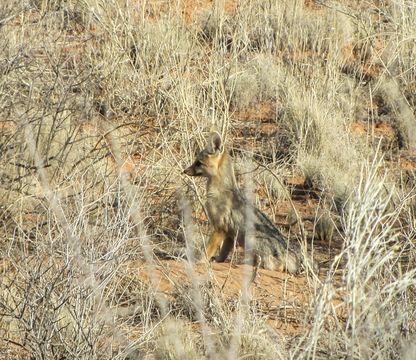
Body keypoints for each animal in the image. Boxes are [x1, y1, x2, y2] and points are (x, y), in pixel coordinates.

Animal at [184, 131, 300, 272]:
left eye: (198, 163)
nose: (184, 170)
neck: (220, 190)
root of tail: (287, 252)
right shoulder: (229, 234)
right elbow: (223, 252)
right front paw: (217, 260)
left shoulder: (219, 228)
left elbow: (207, 250)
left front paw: (200, 261)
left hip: (249, 238)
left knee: (274, 266)